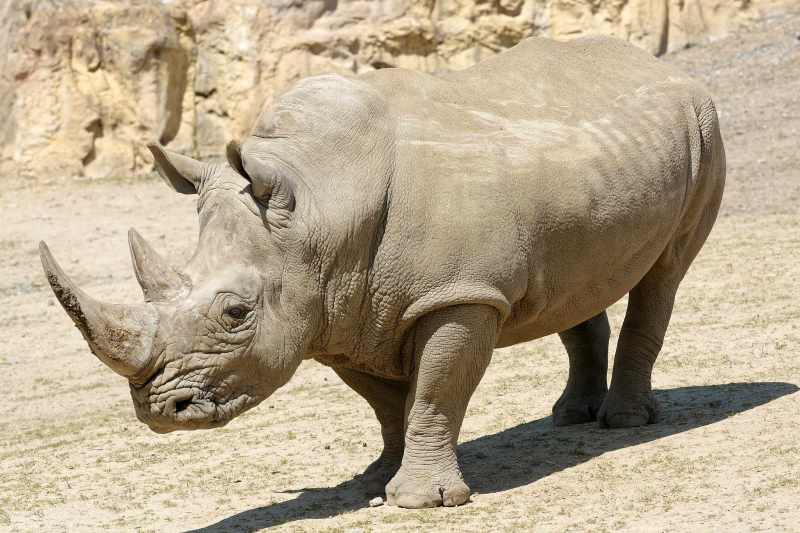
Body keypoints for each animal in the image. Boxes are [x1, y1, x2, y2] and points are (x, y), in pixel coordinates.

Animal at [40, 36, 725, 508]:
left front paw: (420, 502)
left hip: (705, 128)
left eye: (236, 313)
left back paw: (623, 424)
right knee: (574, 282)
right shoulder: (339, 308)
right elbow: (384, 402)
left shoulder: (457, 295)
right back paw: (570, 417)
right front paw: (371, 479)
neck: (317, 208)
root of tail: (663, 67)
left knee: (664, 275)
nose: (161, 410)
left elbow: (435, 391)